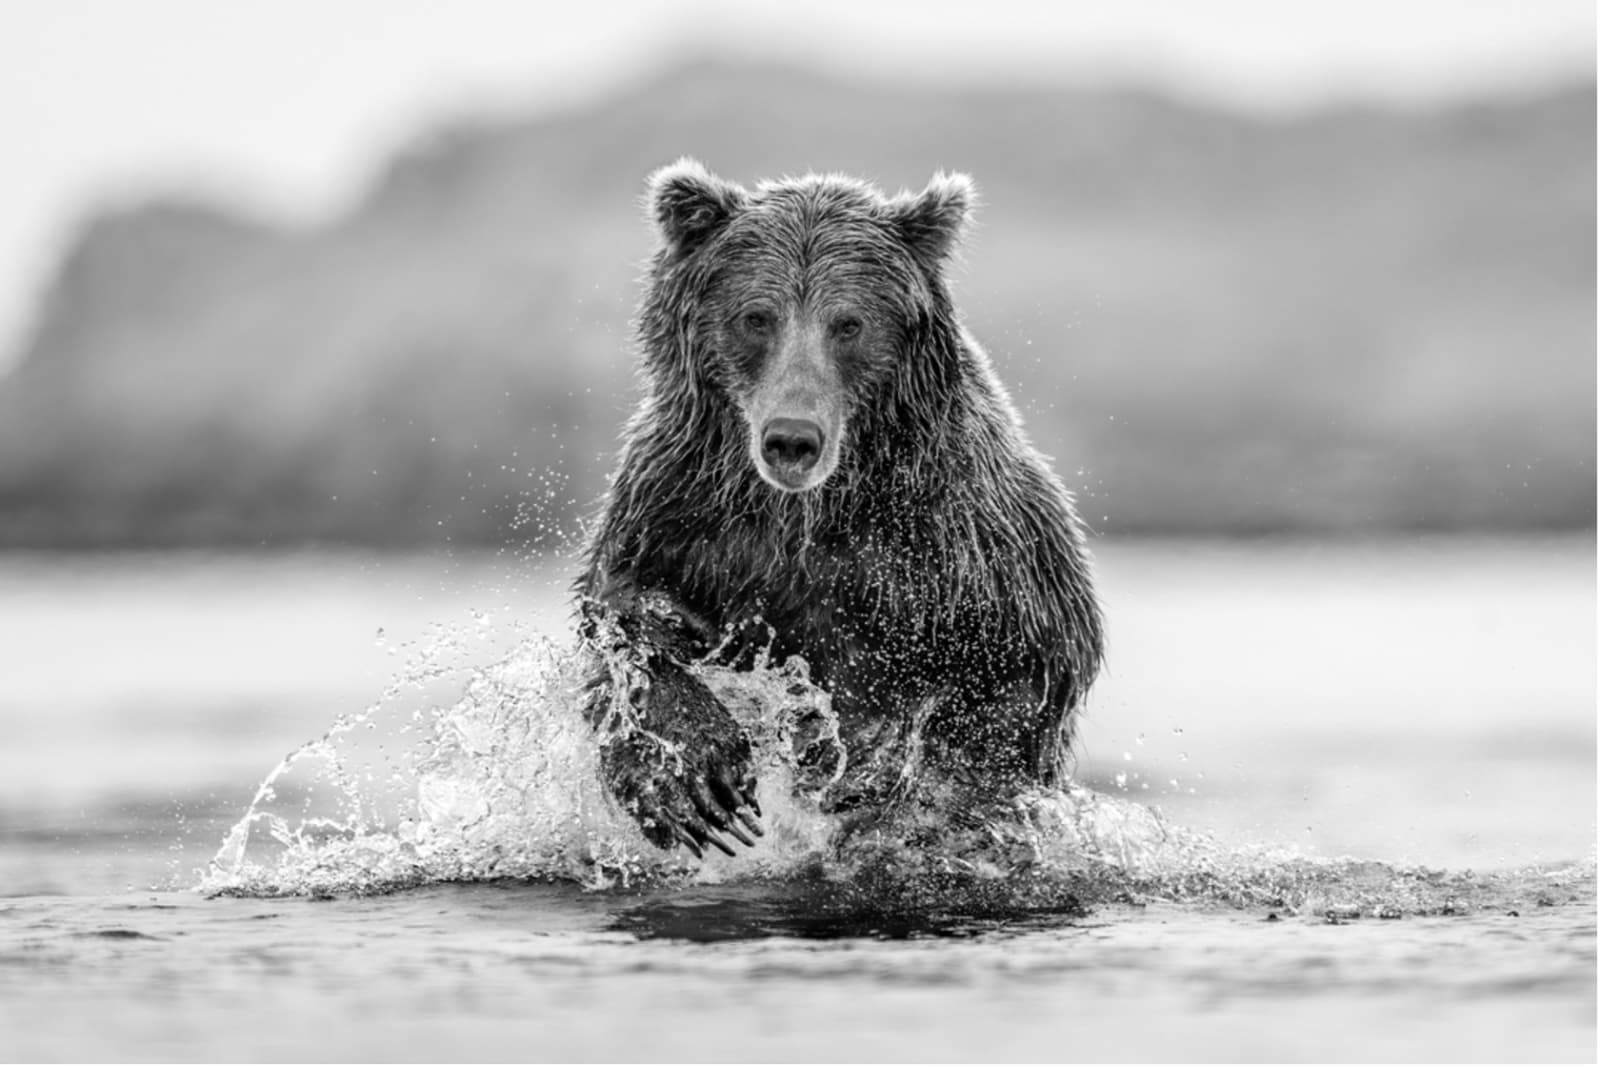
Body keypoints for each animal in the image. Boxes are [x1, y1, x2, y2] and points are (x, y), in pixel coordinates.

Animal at [576, 159, 1103, 860]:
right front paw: (691, 780)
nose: (792, 438)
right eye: (757, 317)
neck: (809, 511)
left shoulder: (967, 543)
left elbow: (1021, 673)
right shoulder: (682, 508)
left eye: (848, 323)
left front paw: (882, 778)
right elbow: (620, 615)